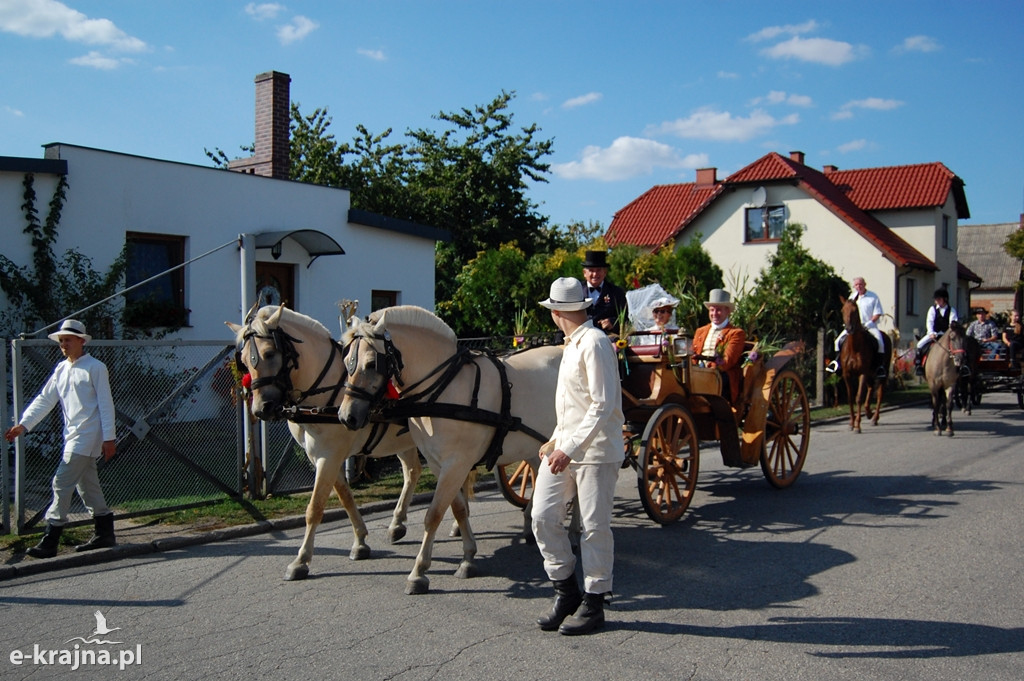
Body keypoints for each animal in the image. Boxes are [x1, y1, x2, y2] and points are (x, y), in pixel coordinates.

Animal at [337, 305, 561, 593]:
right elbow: (458, 509)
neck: (444, 389)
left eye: (371, 364)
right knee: (537, 471)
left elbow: (433, 515)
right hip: (533, 446)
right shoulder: (439, 464)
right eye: (347, 363)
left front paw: (419, 572)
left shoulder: (457, 463)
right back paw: (529, 523)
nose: (346, 417)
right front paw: (468, 558)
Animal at [843, 296, 892, 430]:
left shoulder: (862, 373)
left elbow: (859, 397)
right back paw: (869, 412)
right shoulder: (847, 374)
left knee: (879, 393)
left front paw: (857, 426)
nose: (849, 329)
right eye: (842, 310)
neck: (854, 347)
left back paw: (874, 418)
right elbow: (850, 398)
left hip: (882, 373)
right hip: (870, 373)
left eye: (855, 310)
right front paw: (851, 422)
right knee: (870, 388)